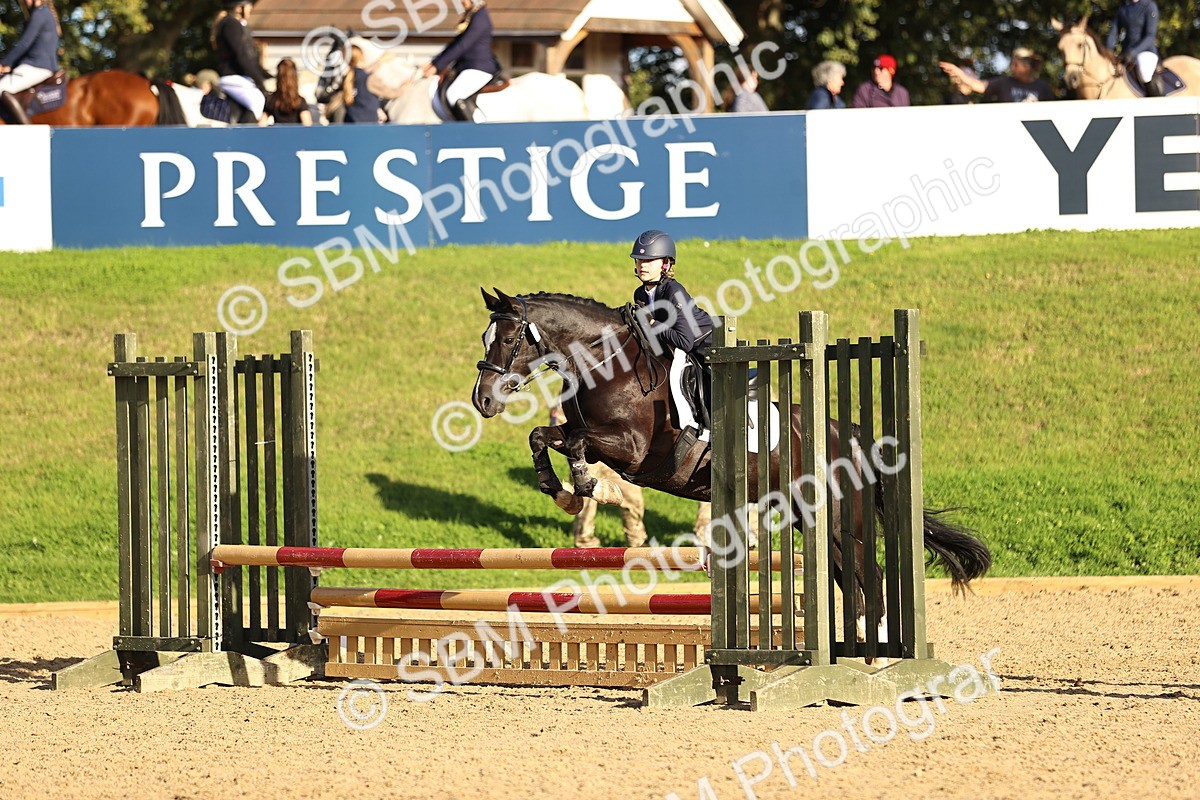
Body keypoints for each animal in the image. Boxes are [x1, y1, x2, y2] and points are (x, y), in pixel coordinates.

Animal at [471, 289, 992, 631]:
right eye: (485, 337)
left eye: (509, 339)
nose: (483, 401)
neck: (605, 363)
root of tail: (852, 436)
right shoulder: (586, 435)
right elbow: (543, 436)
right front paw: (559, 492)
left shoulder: (631, 449)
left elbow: (580, 447)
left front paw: (585, 487)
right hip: (813, 522)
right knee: (852, 584)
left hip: (847, 519)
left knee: (873, 580)